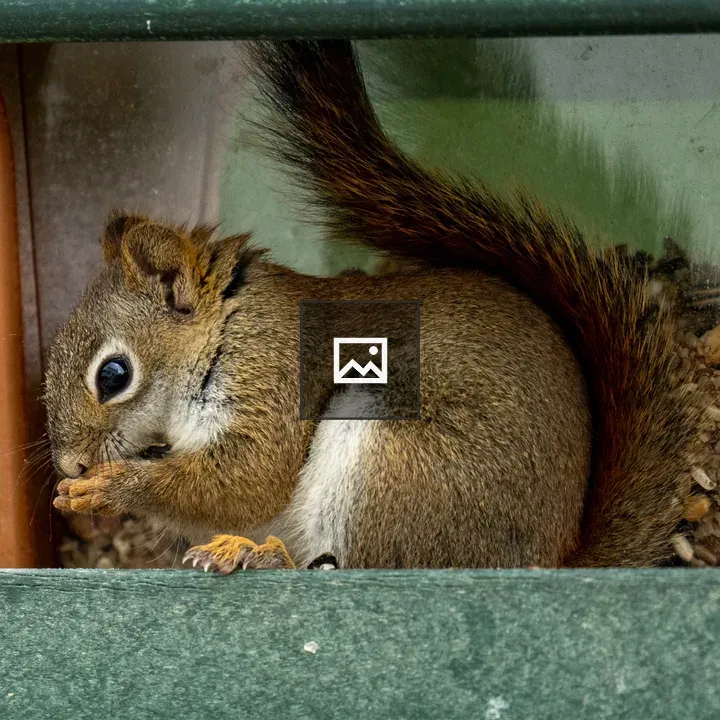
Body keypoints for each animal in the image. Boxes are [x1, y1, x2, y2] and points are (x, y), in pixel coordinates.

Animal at [46, 40, 701, 572]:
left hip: (394, 465)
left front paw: (113, 489)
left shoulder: (276, 374)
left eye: (113, 374)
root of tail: (549, 561)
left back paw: (263, 558)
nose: (71, 466)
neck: (228, 328)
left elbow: (251, 478)